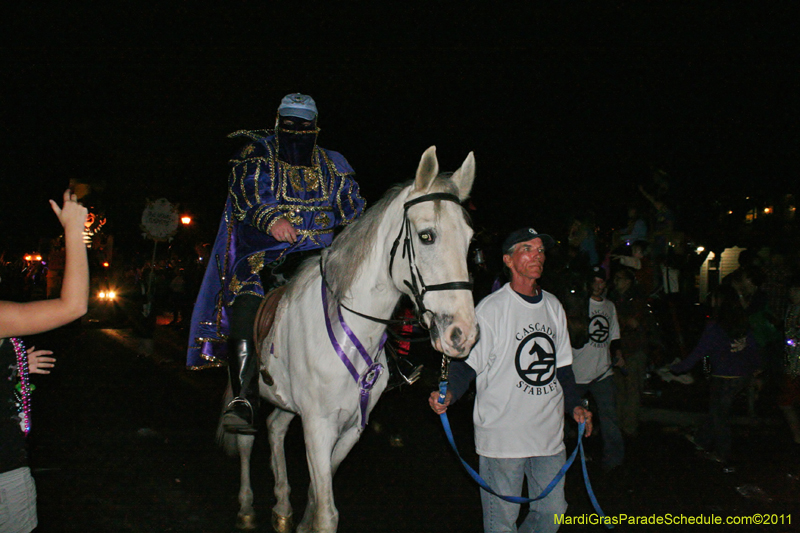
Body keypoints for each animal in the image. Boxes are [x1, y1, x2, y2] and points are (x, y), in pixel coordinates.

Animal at [222, 145, 478, 532]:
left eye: (469, 239)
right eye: (426, 236)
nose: (462, 333)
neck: (352, 330)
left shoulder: (350, 427)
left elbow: (318, 492)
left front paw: (301, 521)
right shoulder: (318, 425)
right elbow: (328, 513)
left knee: (276, 428)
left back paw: (281, 506)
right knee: (246, 439)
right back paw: (247, 505)